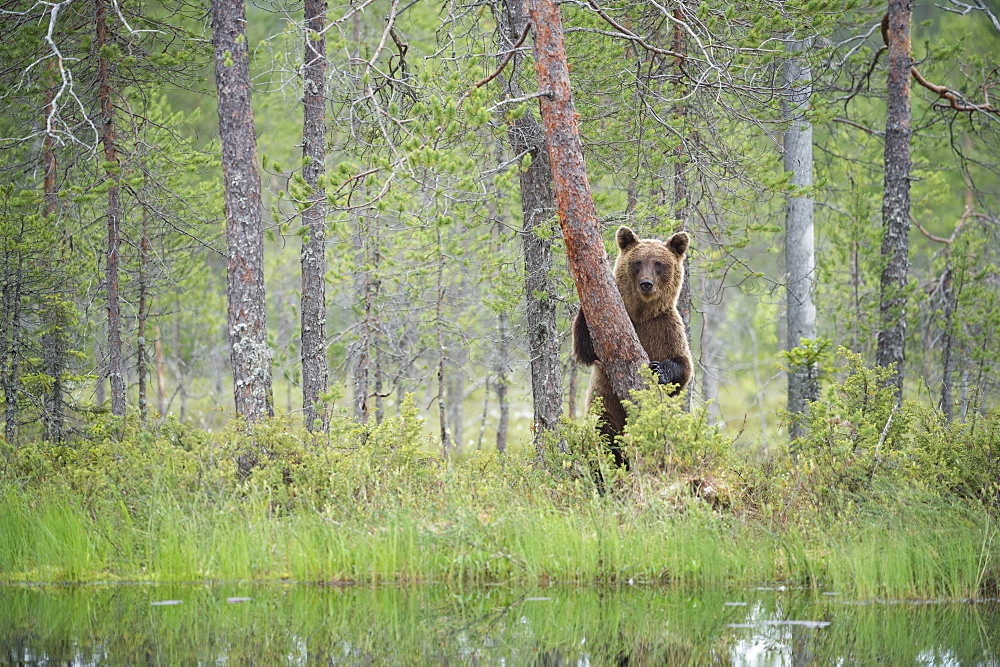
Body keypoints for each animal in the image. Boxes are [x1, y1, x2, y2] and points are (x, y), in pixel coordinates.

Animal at [572, 227, 696, 468]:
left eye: (658, 263)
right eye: (638, 262)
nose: (646, 283)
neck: (641, 314)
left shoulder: (665, 327)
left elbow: (683, 367)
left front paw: (659, 369)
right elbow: (585, 349)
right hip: (606, 403)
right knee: (605, 433)